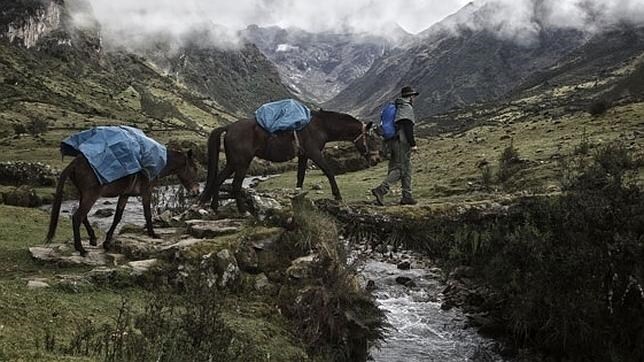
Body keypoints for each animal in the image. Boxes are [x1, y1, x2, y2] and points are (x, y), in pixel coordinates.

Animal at [46, 148, 199, 256]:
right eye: (194, 169)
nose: (196, 192)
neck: (157, 162)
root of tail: (74, 163)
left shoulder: (125, 195)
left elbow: (117, 217)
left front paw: (107, 242)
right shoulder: (146, 192)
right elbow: (147, 213)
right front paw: (153, 234)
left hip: (84, 194)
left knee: (81, 216)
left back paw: (93, 239)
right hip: (91, 195)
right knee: (77, 217)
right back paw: (81, 249)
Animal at [199, 110, 374, 212]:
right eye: (371, 136)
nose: (373, 158)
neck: (320, 126)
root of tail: (229, 127)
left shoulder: (304, 156)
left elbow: (300, 176)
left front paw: (298, 197)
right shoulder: (314, 153)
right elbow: (329, 171)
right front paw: (337, 196)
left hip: (232, 163)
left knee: (218, 180)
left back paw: (215, 207)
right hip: (242, 163)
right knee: (235, 185)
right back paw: (243, 211)